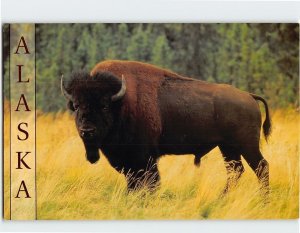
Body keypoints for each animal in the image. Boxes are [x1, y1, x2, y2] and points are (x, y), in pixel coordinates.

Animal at [60, 60, 270, 193]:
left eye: (104, 105)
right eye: (76, 105)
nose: (87, 131)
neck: (121, 103)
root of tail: (249, 96)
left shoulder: (144, 159)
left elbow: (150, 183)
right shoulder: (130, 162)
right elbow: (133, 184)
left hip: (246, 145)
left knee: (261, 167)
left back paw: (263, 200)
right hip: (227, 147)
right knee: (236, 171)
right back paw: (221, 198)